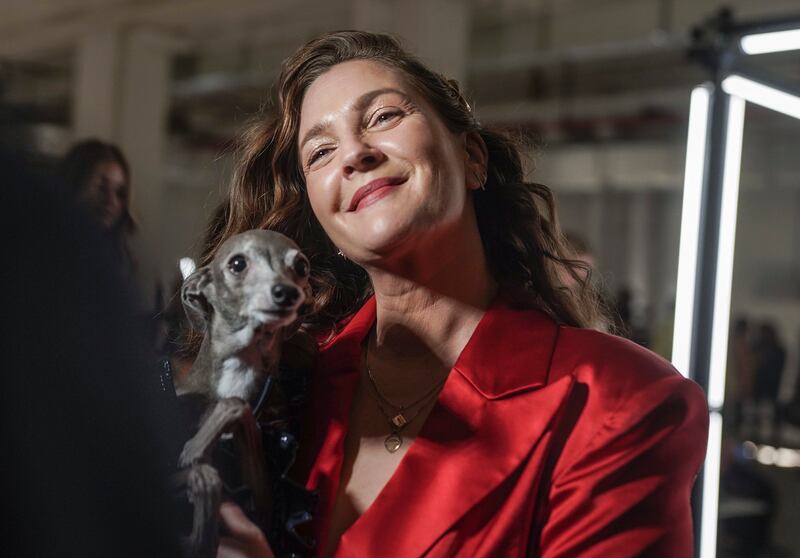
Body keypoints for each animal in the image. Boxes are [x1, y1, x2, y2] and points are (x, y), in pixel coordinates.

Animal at [175, 230, 312, 556]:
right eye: (237, 263)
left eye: (301, 266)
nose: (287, 293)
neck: (241, 363)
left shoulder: (263, 506)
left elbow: (235, 404)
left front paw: (196, 447)